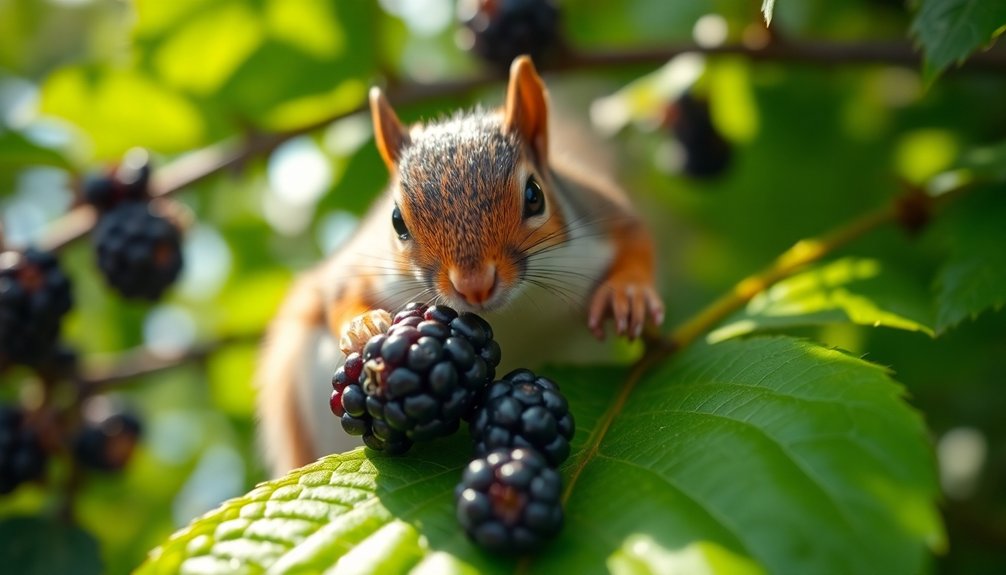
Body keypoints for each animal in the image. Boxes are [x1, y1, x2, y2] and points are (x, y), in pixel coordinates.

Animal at [256, 56, 664, 476]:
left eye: (534, 195)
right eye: (397, 221)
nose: (474, 284)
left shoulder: (600, 215)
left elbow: (637, 238)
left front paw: (627, 293)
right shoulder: (361, 267)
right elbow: (340, 295)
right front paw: (363, 325)